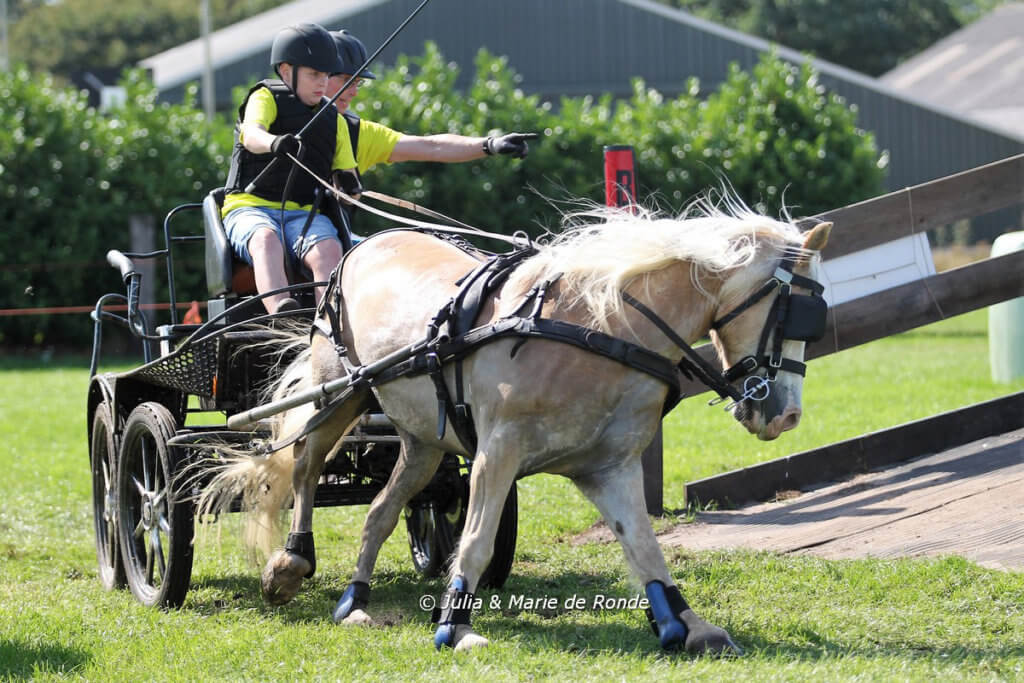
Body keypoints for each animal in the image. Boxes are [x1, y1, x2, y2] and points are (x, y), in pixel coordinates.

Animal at [201, 202, 831, 655]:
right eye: (795, 313)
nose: (787, 415)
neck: (601, 327)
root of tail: (363, 246)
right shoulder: (496, 454)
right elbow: (477, 542)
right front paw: (454, 627)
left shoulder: (609, 468)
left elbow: (645, 548)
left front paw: (686, 624)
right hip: (339, 394)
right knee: (305, 469)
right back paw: (290, 564)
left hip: (422, 441)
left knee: (380, 510)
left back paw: (354, 601)